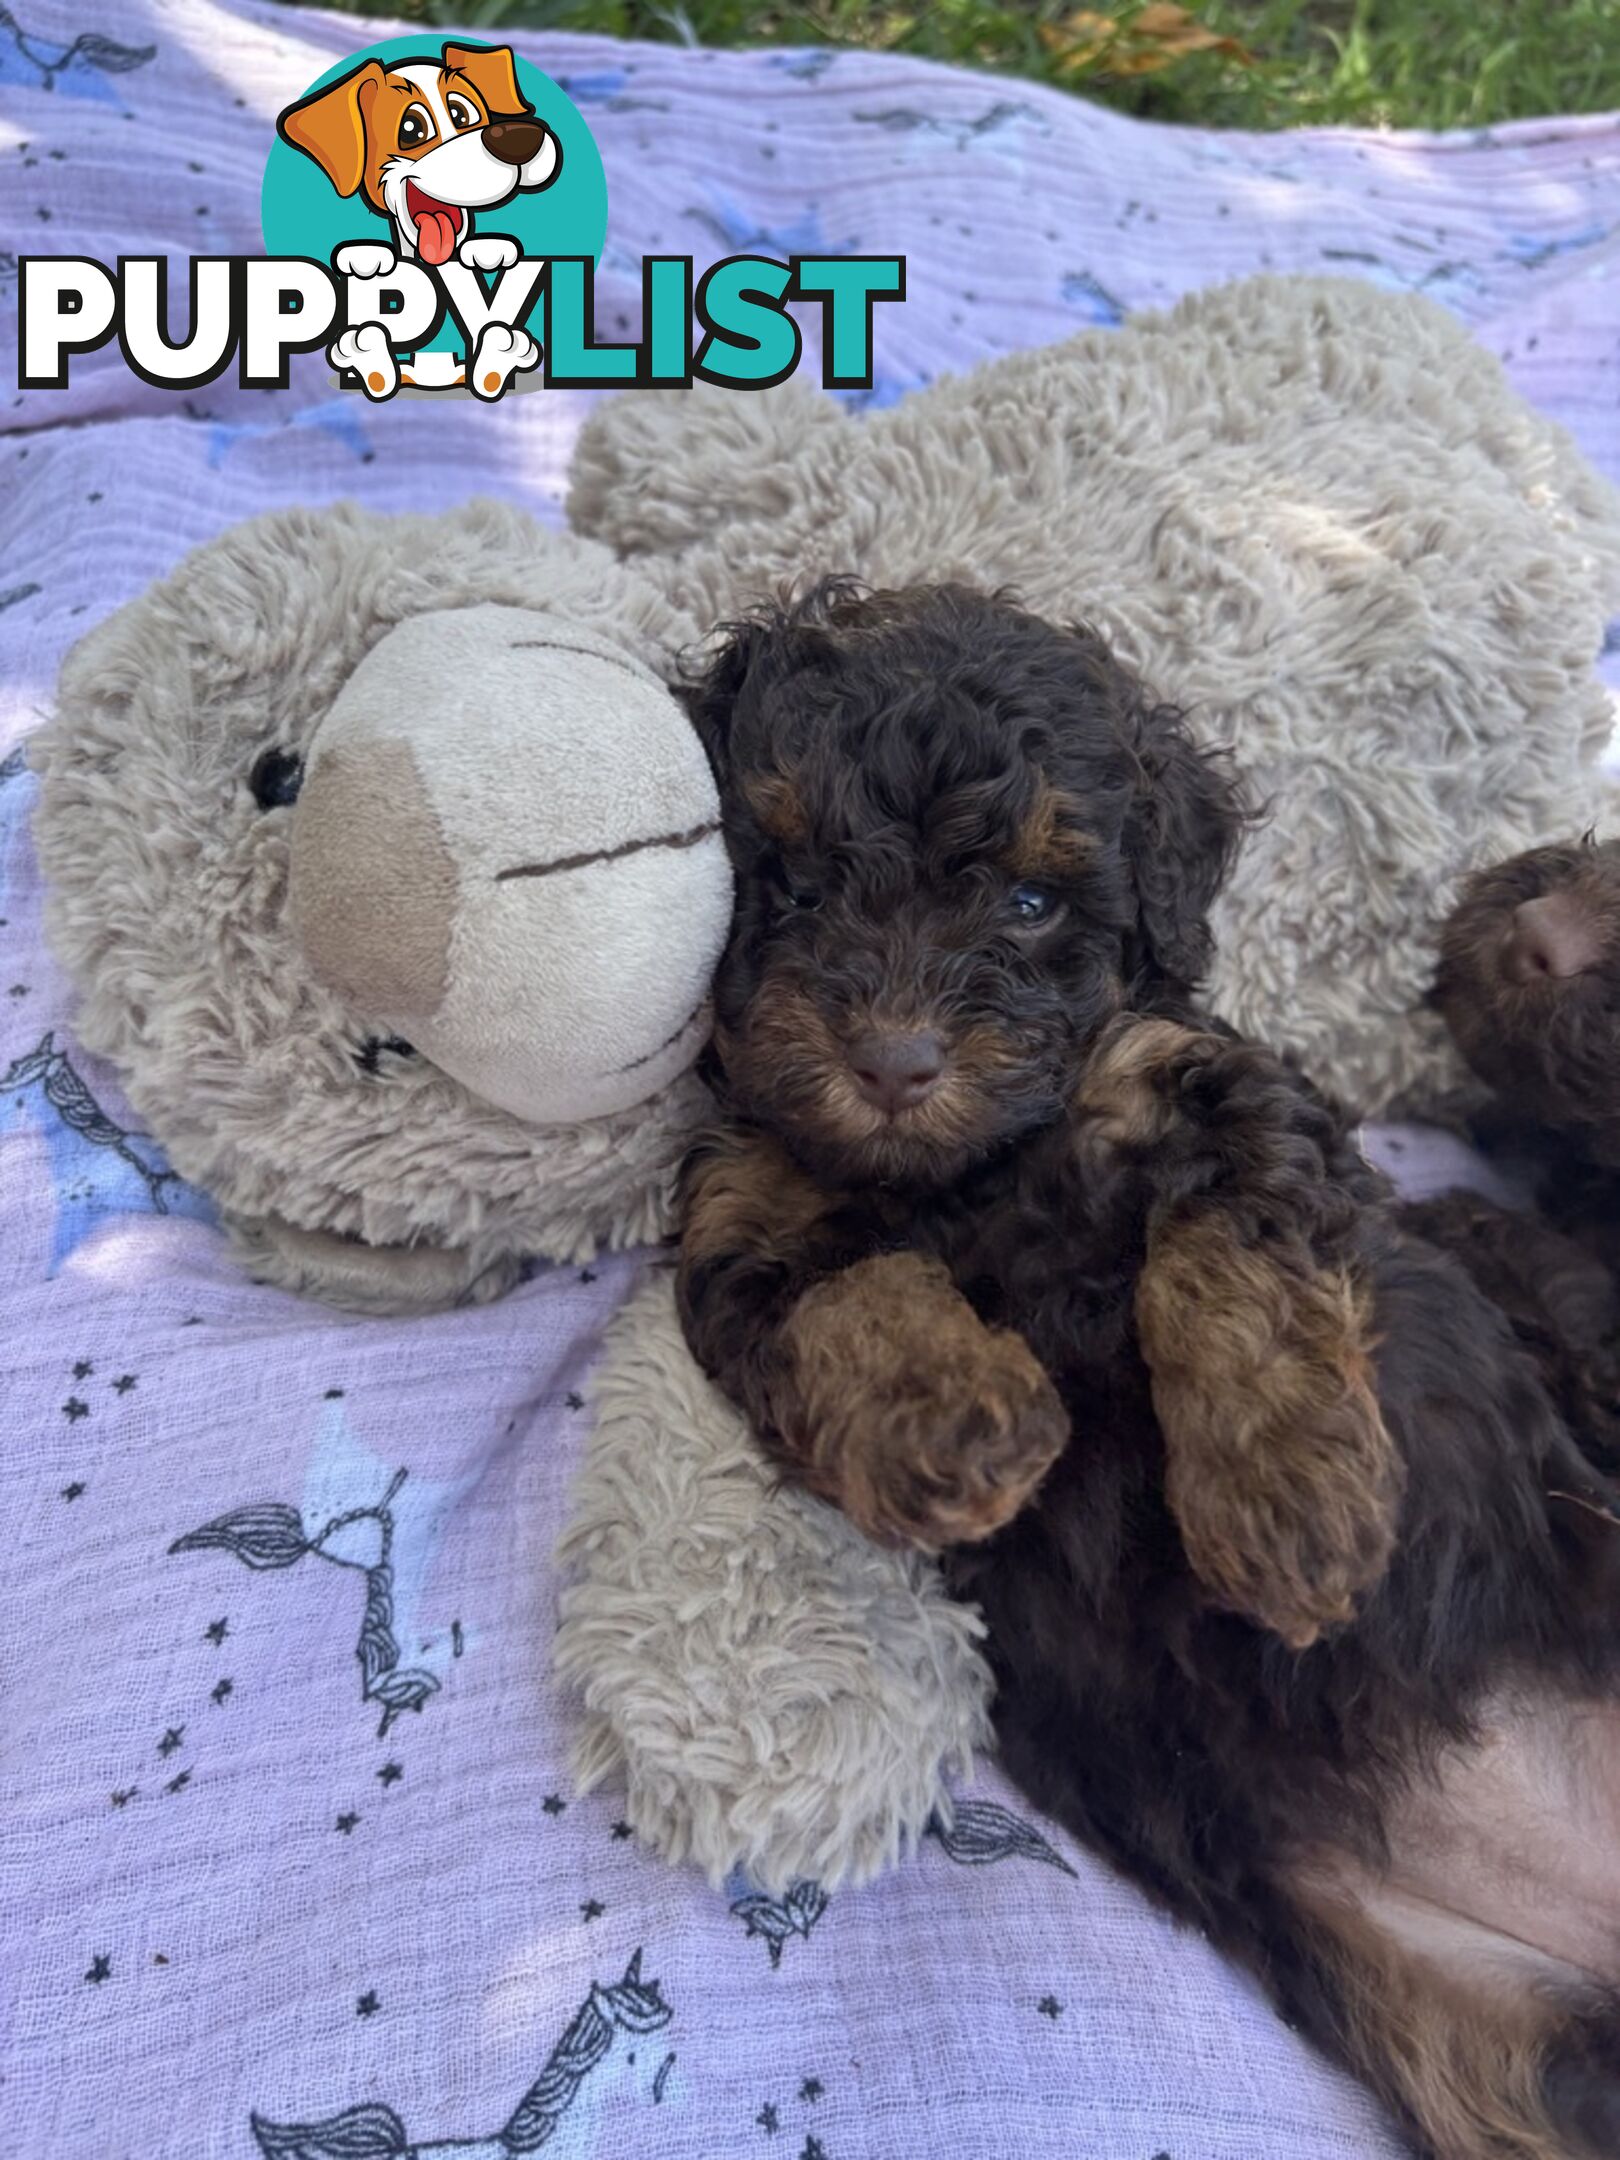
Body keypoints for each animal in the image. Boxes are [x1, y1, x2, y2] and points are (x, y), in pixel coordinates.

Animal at [678, 578, 1620, 2160]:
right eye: (792, 882)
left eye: (1031, 901)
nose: (893, 1062)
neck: (974, 1173)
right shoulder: (747, 1222)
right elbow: (851, 1306)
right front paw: (963, 1418)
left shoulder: (1215, 1087)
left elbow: (1228, 1267)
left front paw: (1286, 1508)